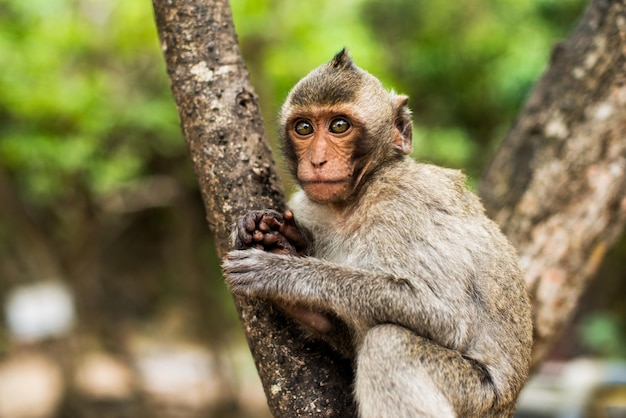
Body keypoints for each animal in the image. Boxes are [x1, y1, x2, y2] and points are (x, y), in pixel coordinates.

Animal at [222, 49, 528, 418]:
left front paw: (280, 271)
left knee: (391, 345)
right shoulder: (309, 205)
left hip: (478, 399)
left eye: (339, 126)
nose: (318, 160)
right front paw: (275, 236)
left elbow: (447, 315)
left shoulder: (404, 202)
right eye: (304, 128)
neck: (354, 200)